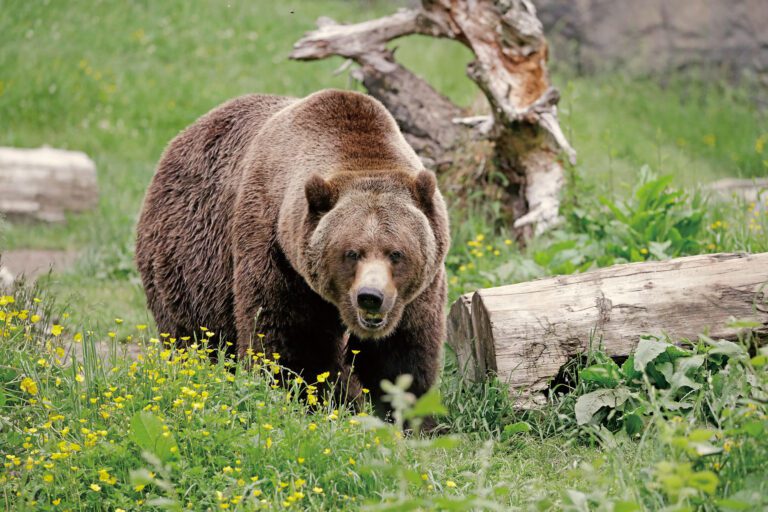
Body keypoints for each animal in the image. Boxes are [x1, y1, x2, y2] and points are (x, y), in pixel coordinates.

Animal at [136, 89, 450, 411]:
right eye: (351, 252)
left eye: (396, 253)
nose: (370, 297)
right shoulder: (277, 253)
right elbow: (291, 343)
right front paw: (316, 398)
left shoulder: (418, 291)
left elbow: (401, 355)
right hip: (190, 264)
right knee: (195, 334)